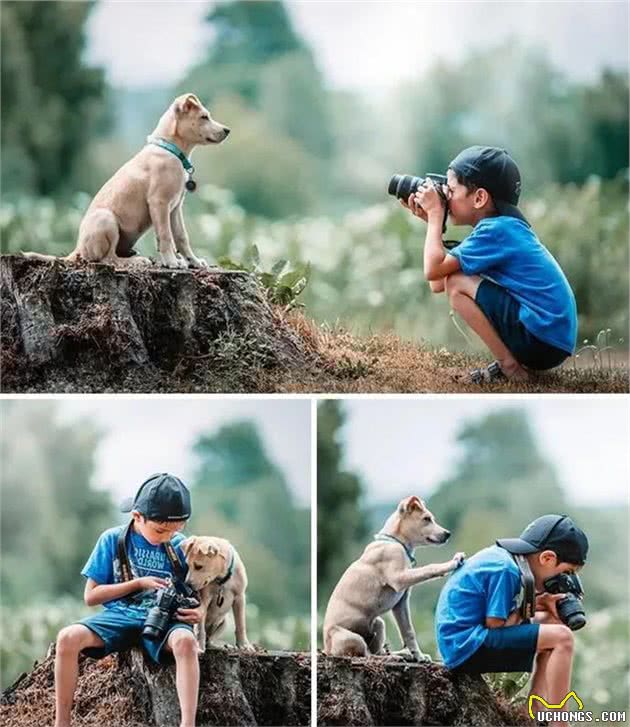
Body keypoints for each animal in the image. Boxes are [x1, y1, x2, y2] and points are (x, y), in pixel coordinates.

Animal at [25, 93, 232, 270]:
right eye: (204, 117)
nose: (227, 130)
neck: (170, 149)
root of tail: (77, 249)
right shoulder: (159, 203)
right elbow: (166, 235)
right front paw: (172, 262)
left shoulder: (175, 208)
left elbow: (181, 237)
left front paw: (193, 262)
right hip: (107, 220)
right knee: (107, 258)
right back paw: (137, 261)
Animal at [324, 498, 466, 664]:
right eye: (426, 519)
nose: (448, 534)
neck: (395, 541)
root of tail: (326, 649)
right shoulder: (399, 578)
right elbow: (429, 568)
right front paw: (453, 562)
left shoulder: (401, 603)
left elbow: (408, 631)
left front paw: (419, 656)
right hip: (350, 637)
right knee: (367, 654)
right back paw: (393, 656)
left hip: (378, 623)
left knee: (377, 650)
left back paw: (401, 654)